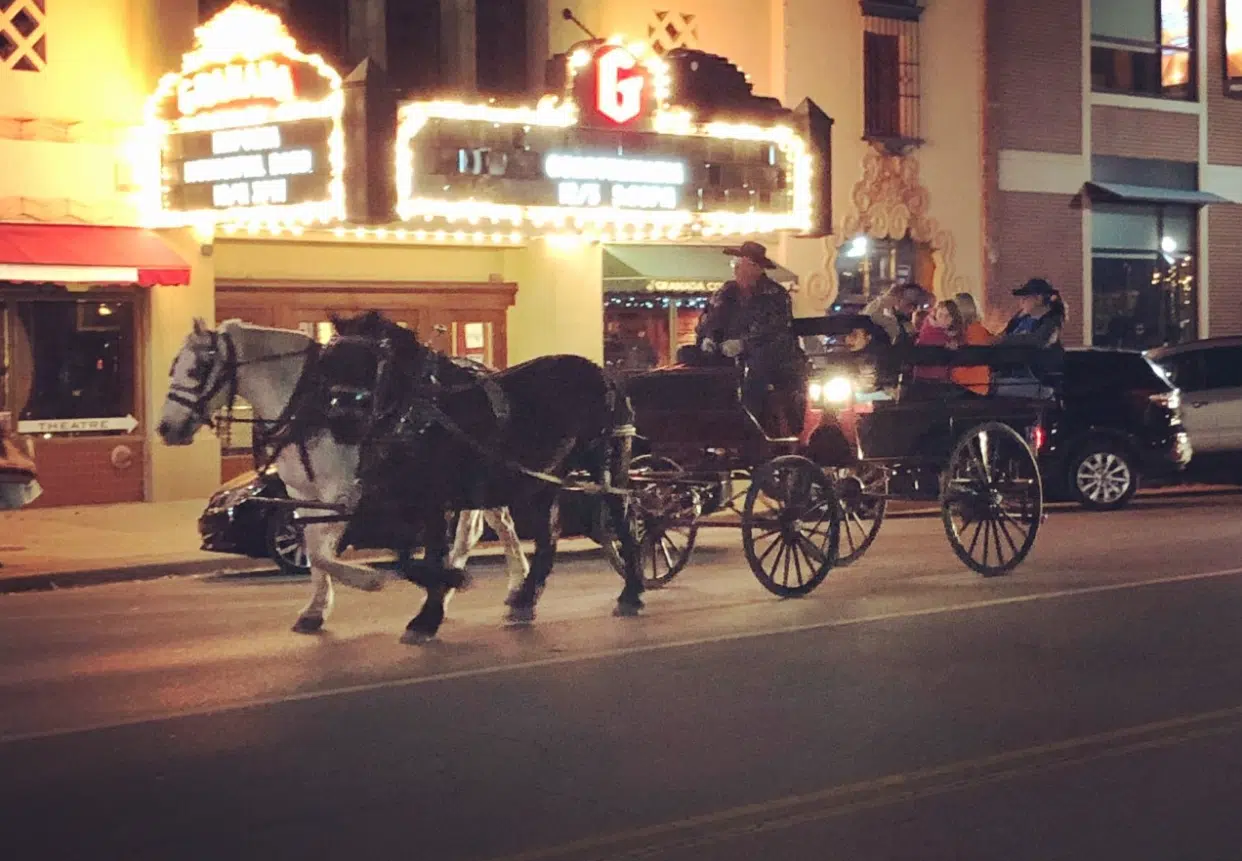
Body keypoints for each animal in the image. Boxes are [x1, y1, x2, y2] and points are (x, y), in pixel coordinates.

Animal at [157, 315, 526, 631]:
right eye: (173, 367)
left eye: (198, 369)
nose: (165, 428)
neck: (311, 404)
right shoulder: (302, 495)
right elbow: (313, 549)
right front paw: (315, 610)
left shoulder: (343, 491)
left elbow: (322, 552)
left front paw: (368, 578)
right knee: (478, 531)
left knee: (499, 526)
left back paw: (513, 591)